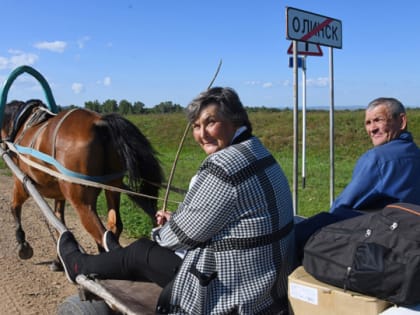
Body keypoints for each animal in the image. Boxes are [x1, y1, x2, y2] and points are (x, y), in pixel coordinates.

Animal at [0, 100, 163, 268]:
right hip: (112, 186)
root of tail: (100, 123)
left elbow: (14, 207)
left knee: (101, 234)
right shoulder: (60, 195)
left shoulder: (21, 182)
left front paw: (23, 245)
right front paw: (58, 260)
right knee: (114, 226)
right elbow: (59, 222)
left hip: (82, 202)